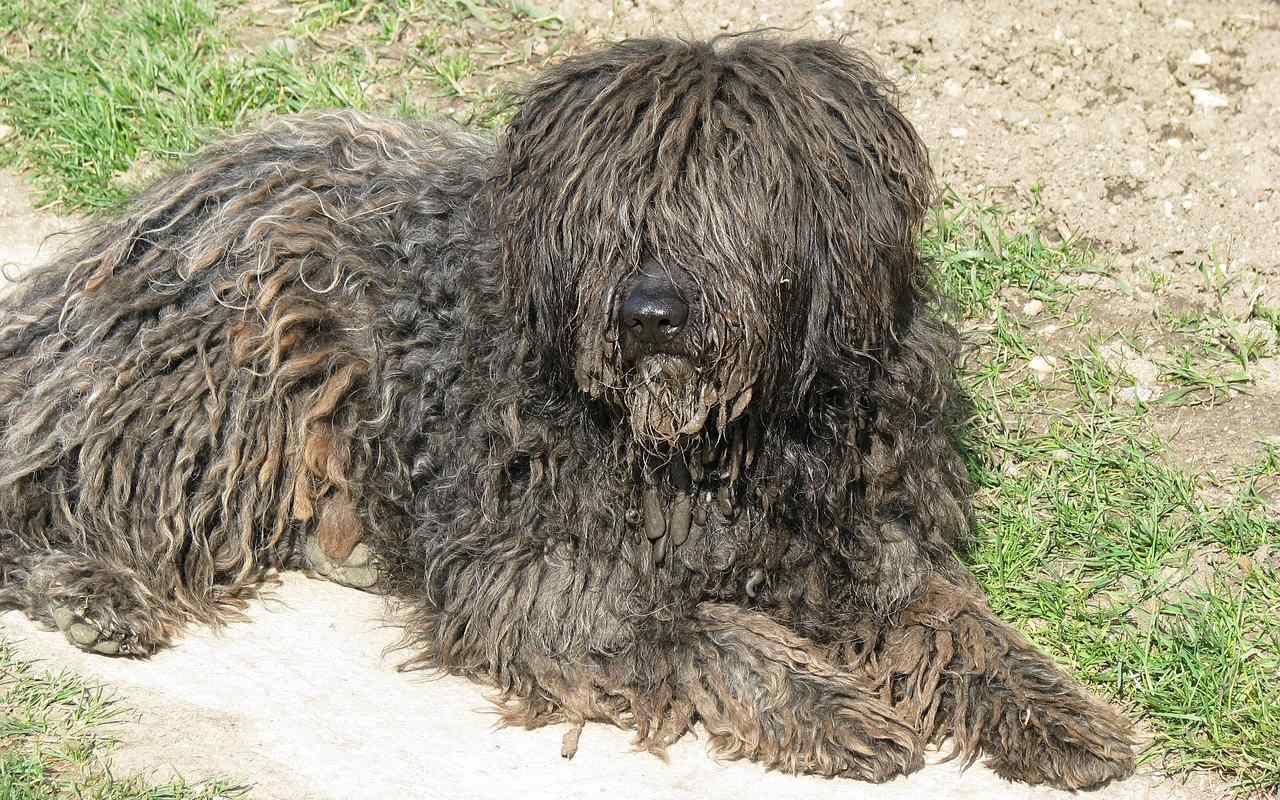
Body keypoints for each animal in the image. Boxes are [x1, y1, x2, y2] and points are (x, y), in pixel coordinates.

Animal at [2, 35, 1141, 788]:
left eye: (734, 198)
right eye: (611, 208)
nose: (651, 311)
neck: (719, 446)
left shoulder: (870, 538)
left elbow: (959, 625)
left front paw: (1057, 712)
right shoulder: (534, 572)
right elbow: (693, 628)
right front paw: (826, 704)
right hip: (208, 386)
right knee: (49, 490)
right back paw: (93, 585)